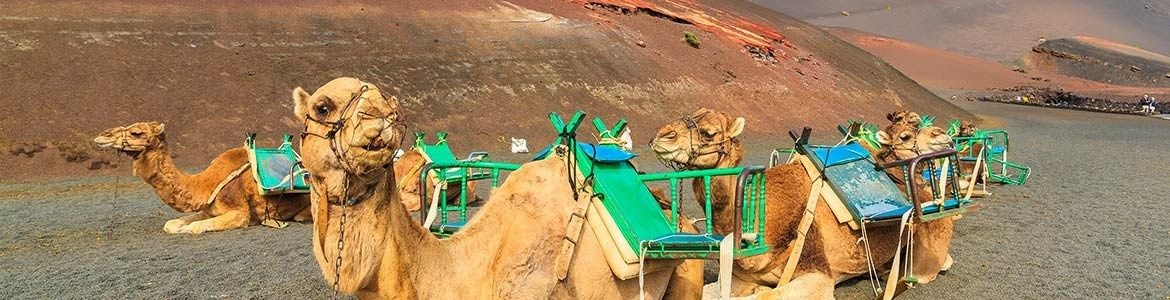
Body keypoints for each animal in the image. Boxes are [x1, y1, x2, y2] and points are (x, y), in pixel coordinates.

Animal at [92, 121, 311, 234]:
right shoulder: (208, 210)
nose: (102, 135)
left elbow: (195, 227)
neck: (205, 184)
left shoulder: (239, 211)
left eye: (136, 132)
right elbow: (171, 224)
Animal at [650, 107, 959, 297]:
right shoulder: (741, 277)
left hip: (927, 254)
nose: (661, 135)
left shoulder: (817, 274)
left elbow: (767, 296)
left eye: (709, 132)